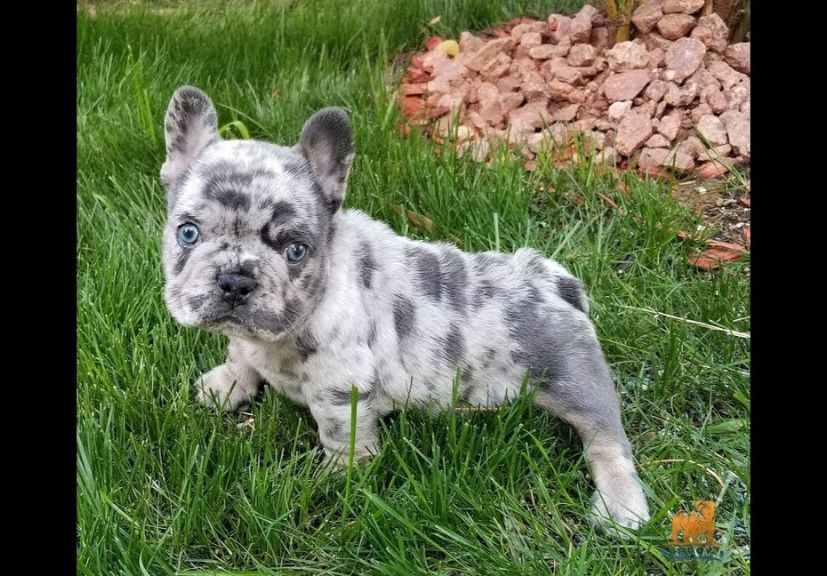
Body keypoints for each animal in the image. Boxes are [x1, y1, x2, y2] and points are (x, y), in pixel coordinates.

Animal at [158, 86, 652, 532]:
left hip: (575, 381)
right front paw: (227, 384)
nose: (236, 279)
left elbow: (339, 434)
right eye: (188, 233)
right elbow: (240, 353)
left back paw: (620, 507)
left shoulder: (341, 387)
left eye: (295, 251)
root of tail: (551, 282)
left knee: (607, 441)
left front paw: (340, 479)